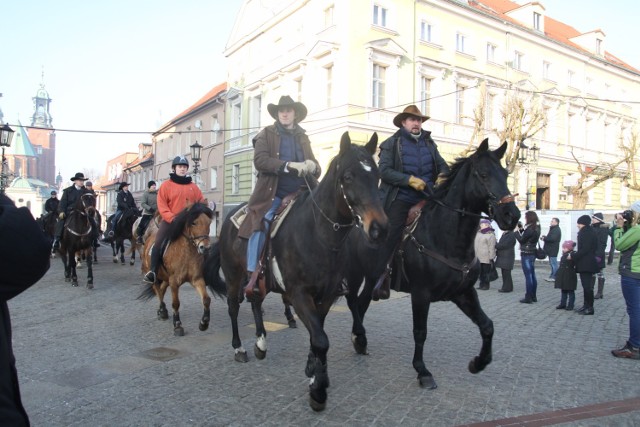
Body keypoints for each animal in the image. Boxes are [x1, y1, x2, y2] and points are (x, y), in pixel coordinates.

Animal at [136, 203, 224, 338]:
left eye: (209, 222)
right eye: (193, 223)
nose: (205, 248)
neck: (186, 253)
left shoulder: (197, 279)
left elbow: (206, 299)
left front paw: (204, 323)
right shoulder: (174, 281)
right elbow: (176, 303)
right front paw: (177, 325)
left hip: (165, 277)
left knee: (161, 290)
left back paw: (162, 311)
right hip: (154, 275)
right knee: (157, 290)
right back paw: (162, 310)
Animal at [205, 131, 388, 412]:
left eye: (377, 175)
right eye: (348, 176)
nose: (379, 228)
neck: (318, 235)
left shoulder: (326, 296)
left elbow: (317, 334)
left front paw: (313, 370)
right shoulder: (299, 294)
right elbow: (321, 339)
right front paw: (318, 390)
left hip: (260, 280)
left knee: (255, 301)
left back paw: (260, 342)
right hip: (234, 275)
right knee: (234, 307)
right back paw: (239, 349)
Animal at [344, 140, 520, 392]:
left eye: (506, 174)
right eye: (484, 174)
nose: (512, 215)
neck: (446, 238)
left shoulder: (463, 292)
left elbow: (487, 325)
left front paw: (478, 362)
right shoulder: (421, 294)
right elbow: (420, 332)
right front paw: (422, 371)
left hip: (370, 280)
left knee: (361, 304)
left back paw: (360, 340)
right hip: (355, 275)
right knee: (353, 303)